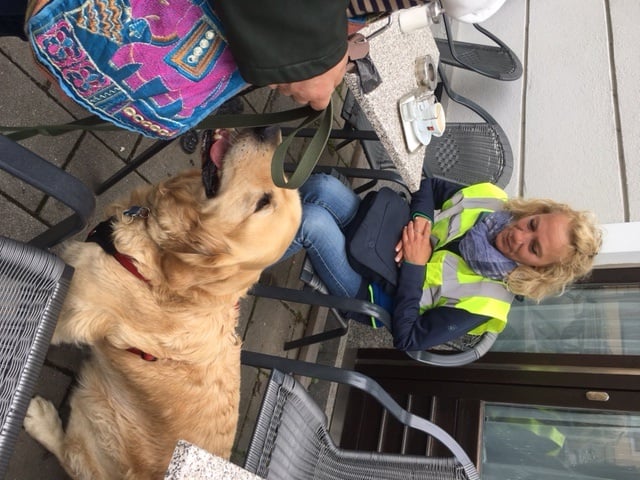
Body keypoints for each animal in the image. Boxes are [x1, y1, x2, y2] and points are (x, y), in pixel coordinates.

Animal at [23, 127, 302, 479]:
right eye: (285, 179)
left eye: (263, 203)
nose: (269, 130)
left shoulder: (72, 309)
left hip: (98, 412)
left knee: (74, 456)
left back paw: (40, 418)